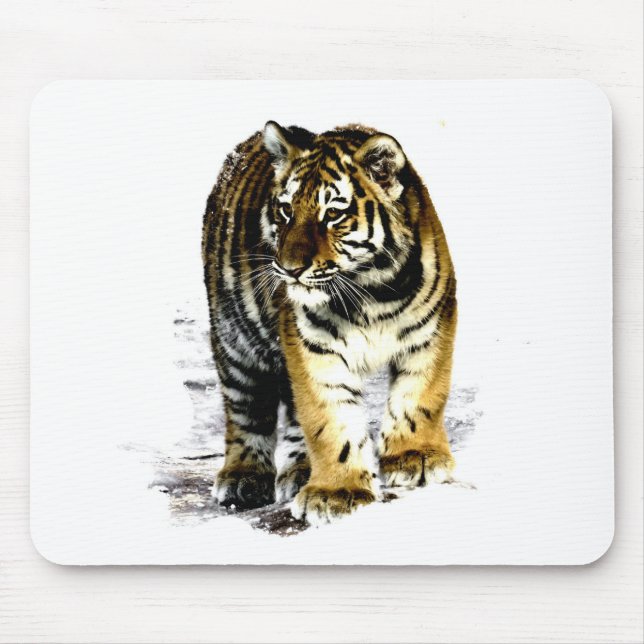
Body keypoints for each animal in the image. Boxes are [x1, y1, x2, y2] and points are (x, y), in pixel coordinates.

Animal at [202, 121, 457, 526]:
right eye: (286, 210)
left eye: (333, 215)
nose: (289, 269)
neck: (372, 290)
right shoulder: (313, 346)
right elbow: (330, 419)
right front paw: (338, 493)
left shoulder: (431, 329)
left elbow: (420, 396)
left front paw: (415, 458)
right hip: (235, 341)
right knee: (246, 410)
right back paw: (244, 478)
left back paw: (300, 470)